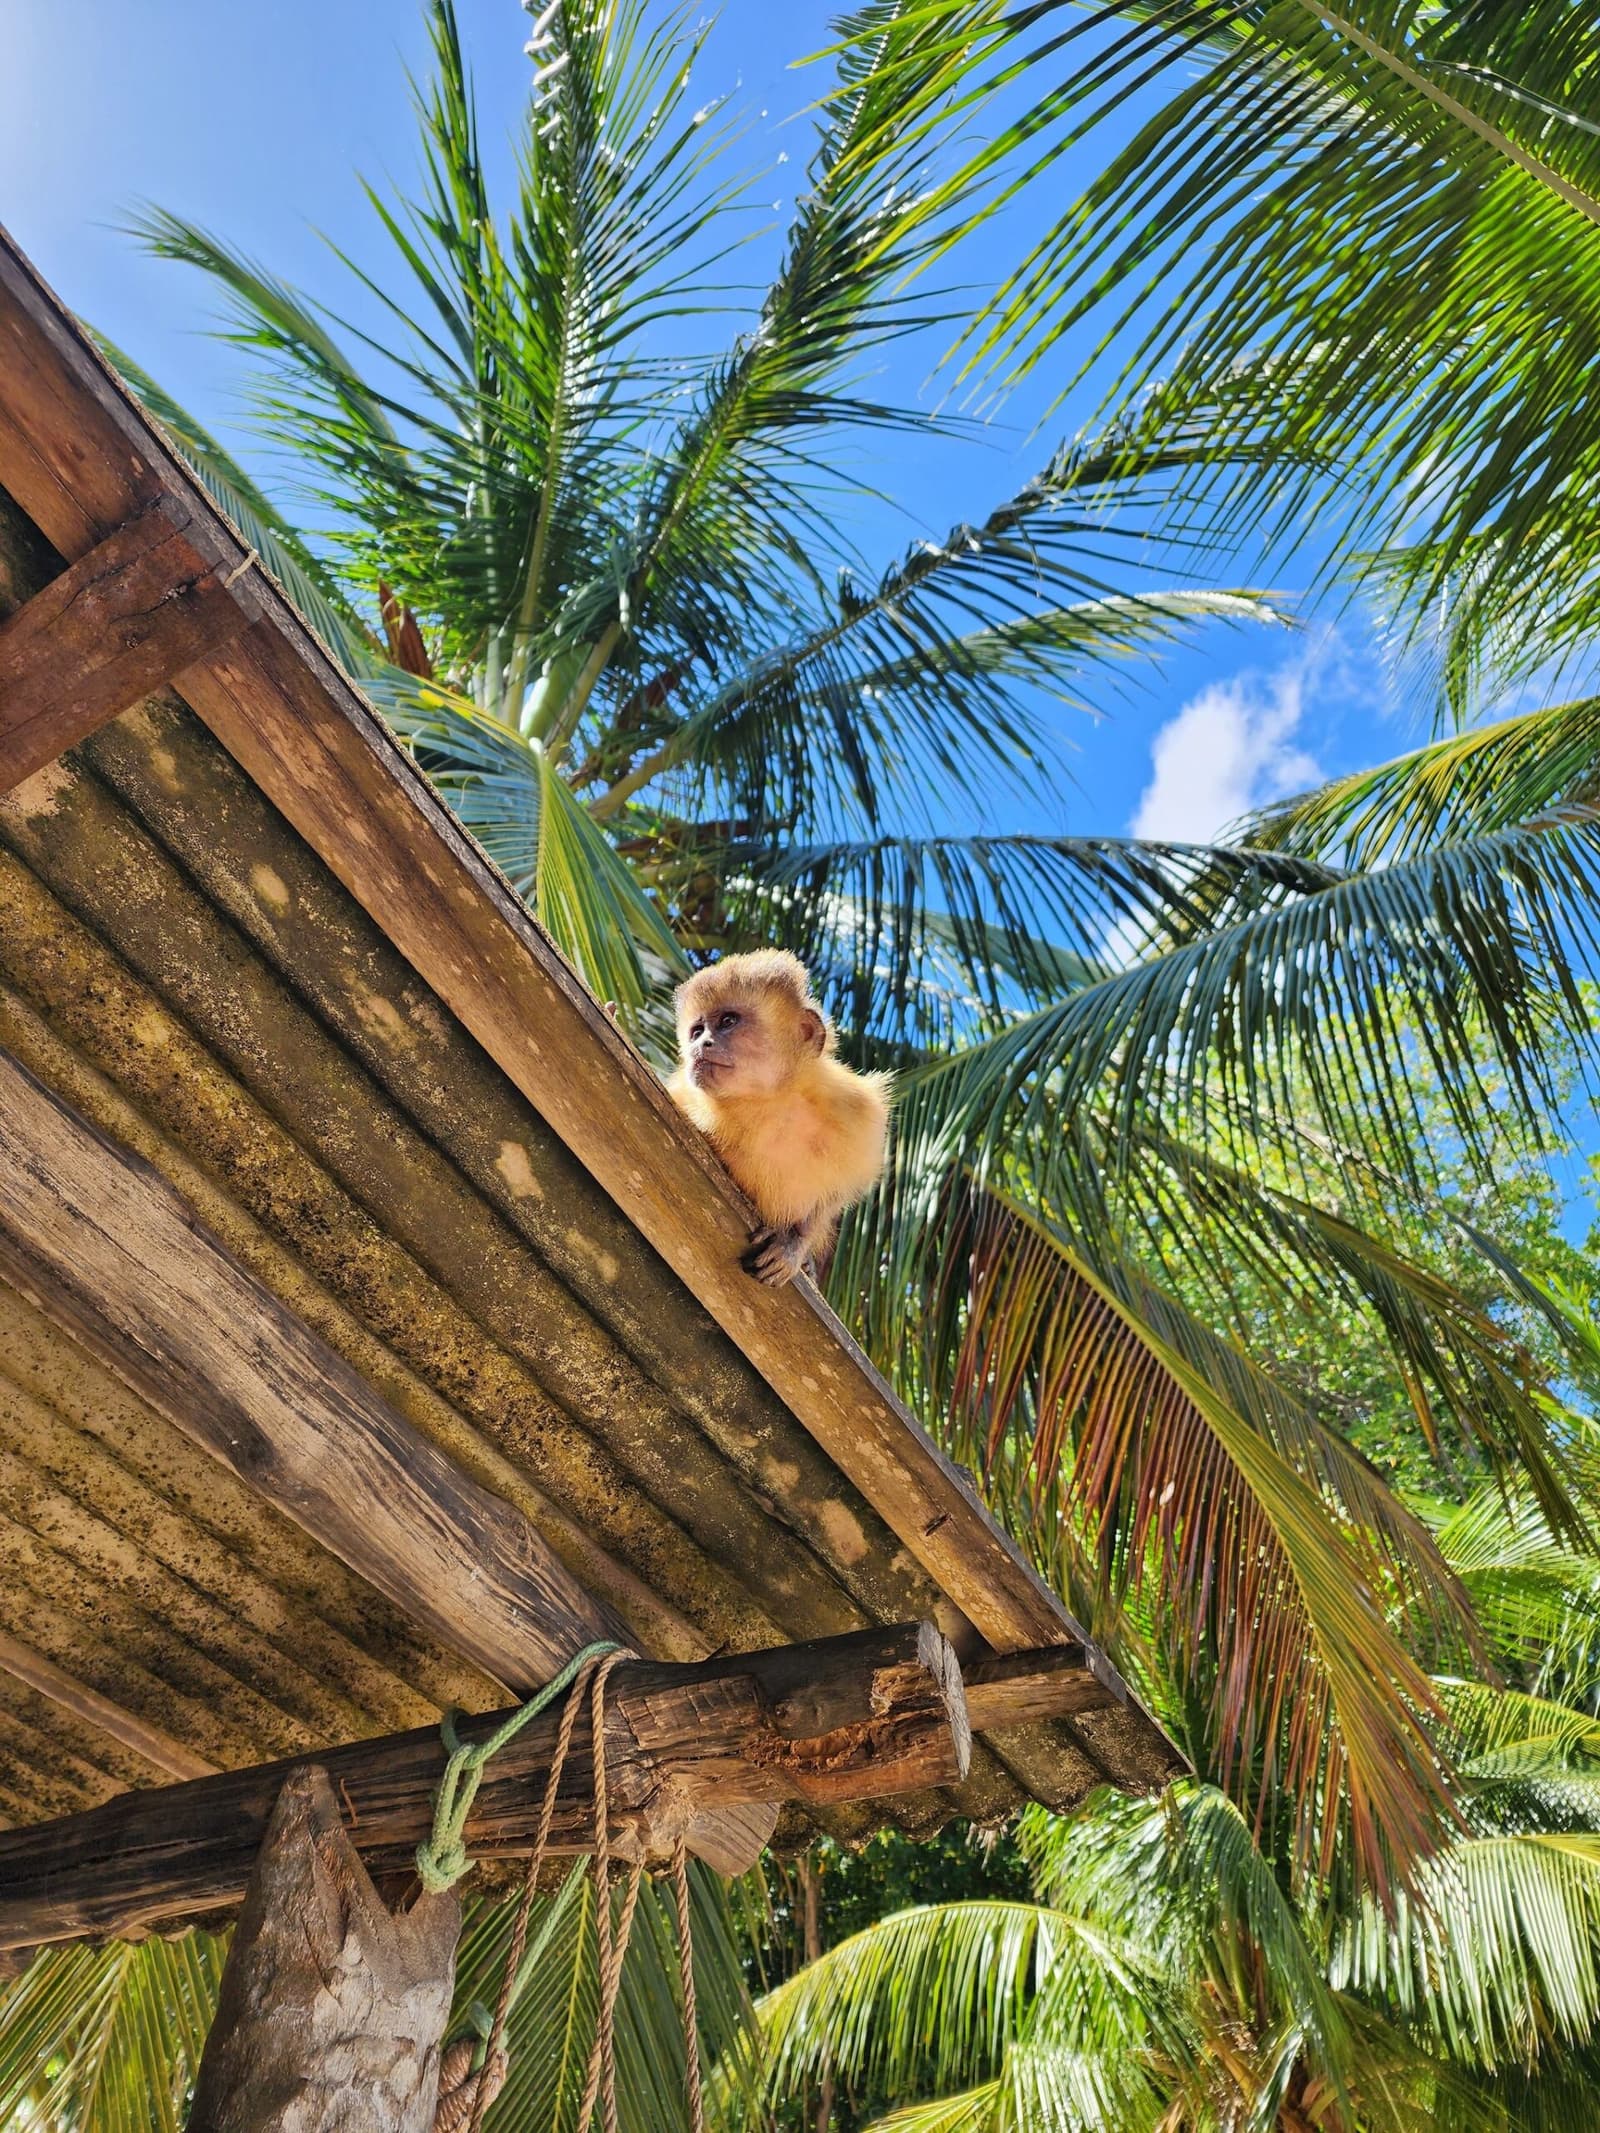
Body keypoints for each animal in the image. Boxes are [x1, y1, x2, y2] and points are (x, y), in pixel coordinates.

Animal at [667, 950, 891, 1287]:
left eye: (728, 1021)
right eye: (697, 1030)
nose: (699, 1044)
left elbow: (845, 1188)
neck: (771, 1102)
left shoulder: (854, 1108)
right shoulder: (686, 1098)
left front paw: (794, 1246)